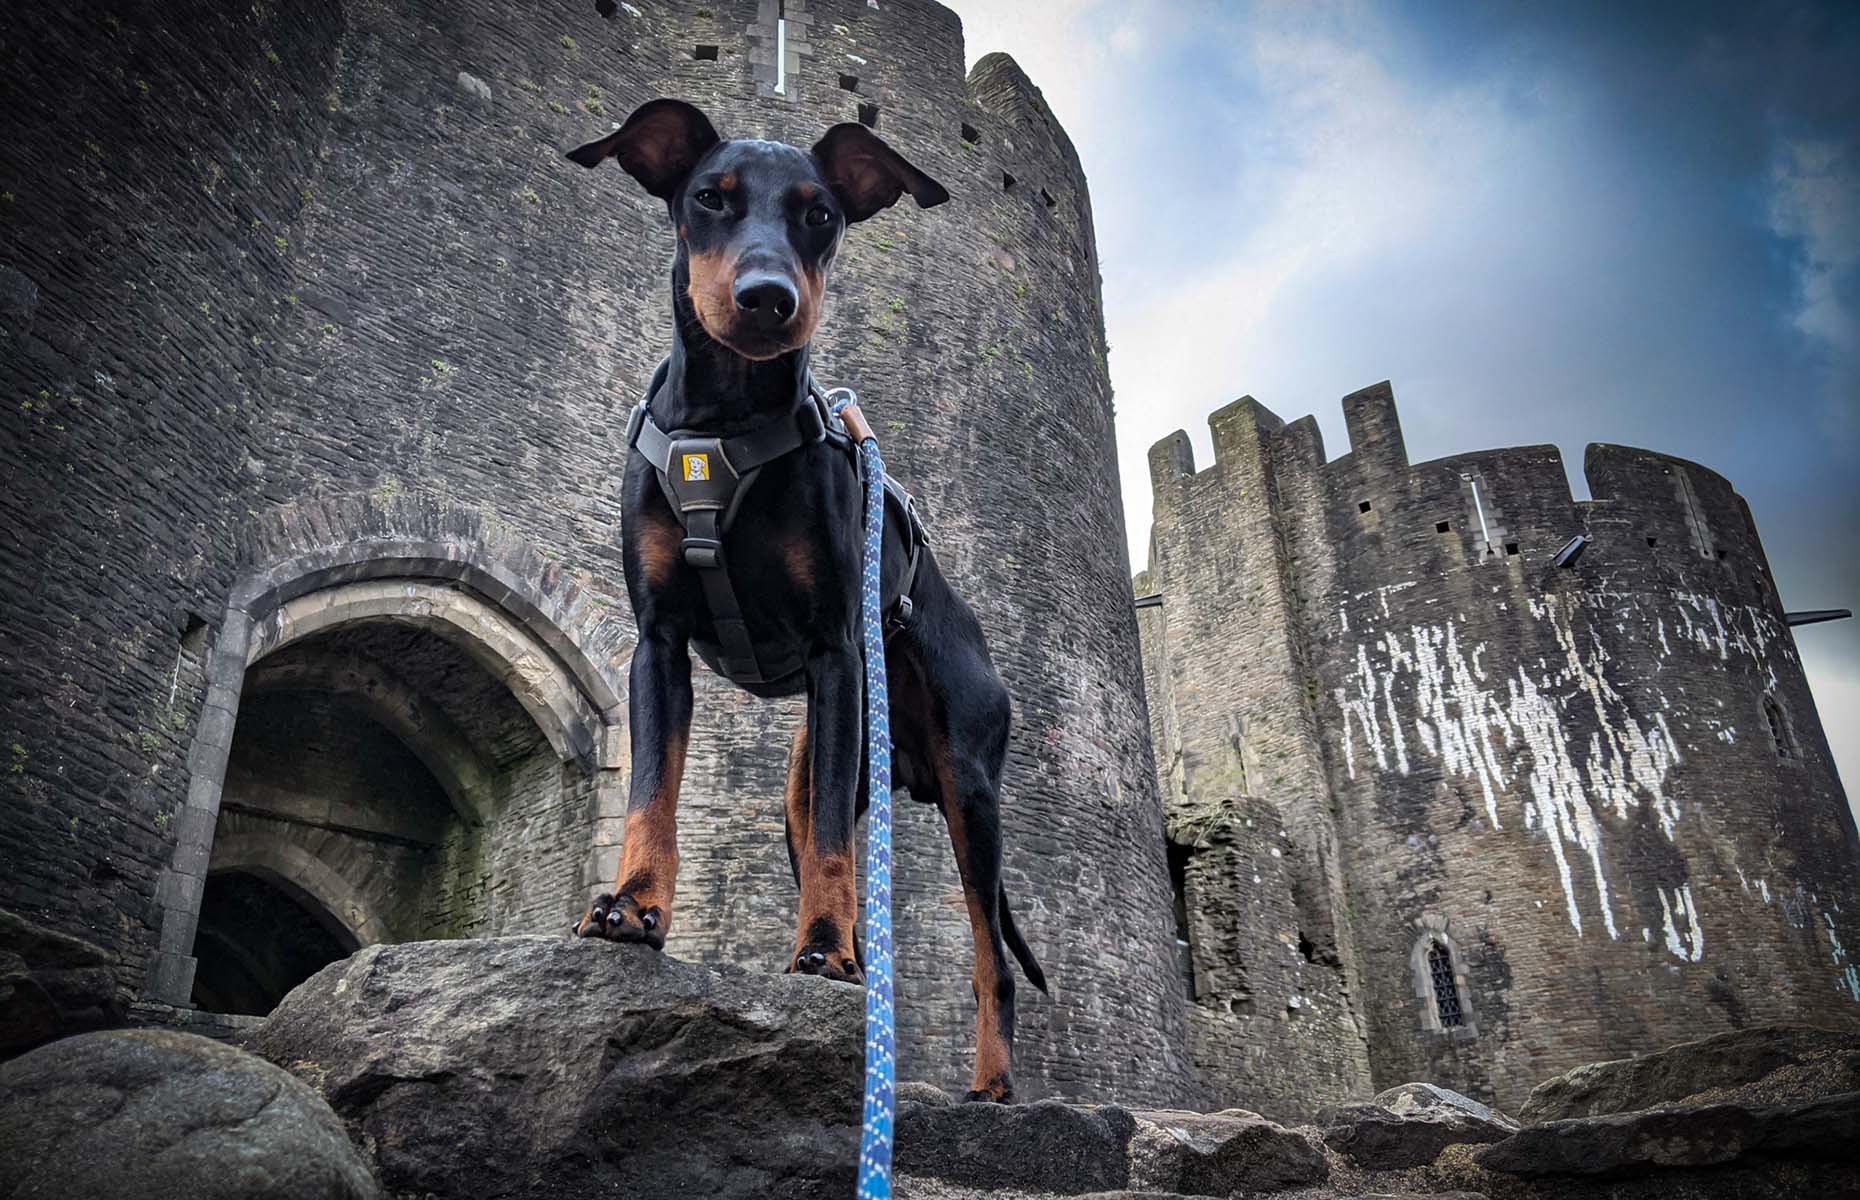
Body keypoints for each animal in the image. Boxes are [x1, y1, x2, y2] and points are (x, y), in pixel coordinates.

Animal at [565, 98, 1049, 1101]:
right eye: (709, 199)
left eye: (819, 214)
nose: (766, 299)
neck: (727, 420)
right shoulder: (657, 646)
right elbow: (651, 794)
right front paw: (632, 908)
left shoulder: (835, 654)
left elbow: (835, 849)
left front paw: (822, 952)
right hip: (818, 766)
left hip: (968, 789)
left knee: (988, 957)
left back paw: (983, 1075)